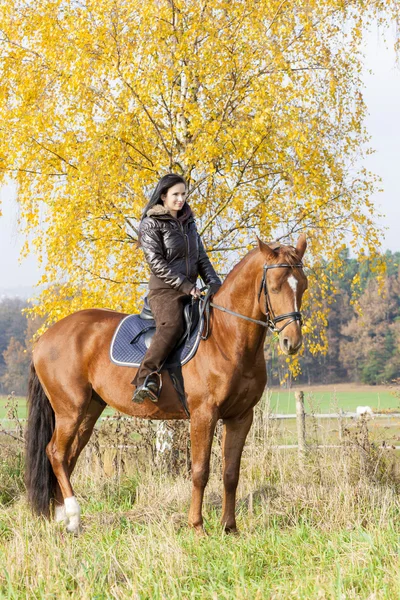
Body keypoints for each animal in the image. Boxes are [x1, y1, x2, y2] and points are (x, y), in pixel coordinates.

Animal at [25, 234, 308, 536]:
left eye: (302, 285)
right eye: (275, 287)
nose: (292, 342)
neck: (226, 336)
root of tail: (45, 337)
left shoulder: (241, 417)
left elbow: (231, 473)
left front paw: (229, 527)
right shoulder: (204, 415)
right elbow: (200, 471)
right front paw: (197, 526)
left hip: (89, 410)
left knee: (68, 456)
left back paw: (63, 517)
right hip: (70, 409)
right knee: (56, 453)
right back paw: (73, 516)